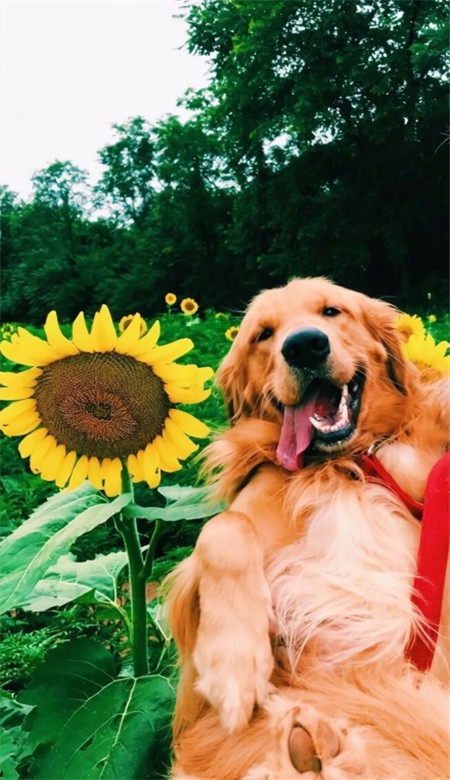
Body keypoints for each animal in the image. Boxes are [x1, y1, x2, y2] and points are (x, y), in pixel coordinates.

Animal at [166, 278, 450, 776]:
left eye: (331, 311)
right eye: (263, 333)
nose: (304, 346)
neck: (344, 464)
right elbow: (222, 527)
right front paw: (232, 665)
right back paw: (313, 746)